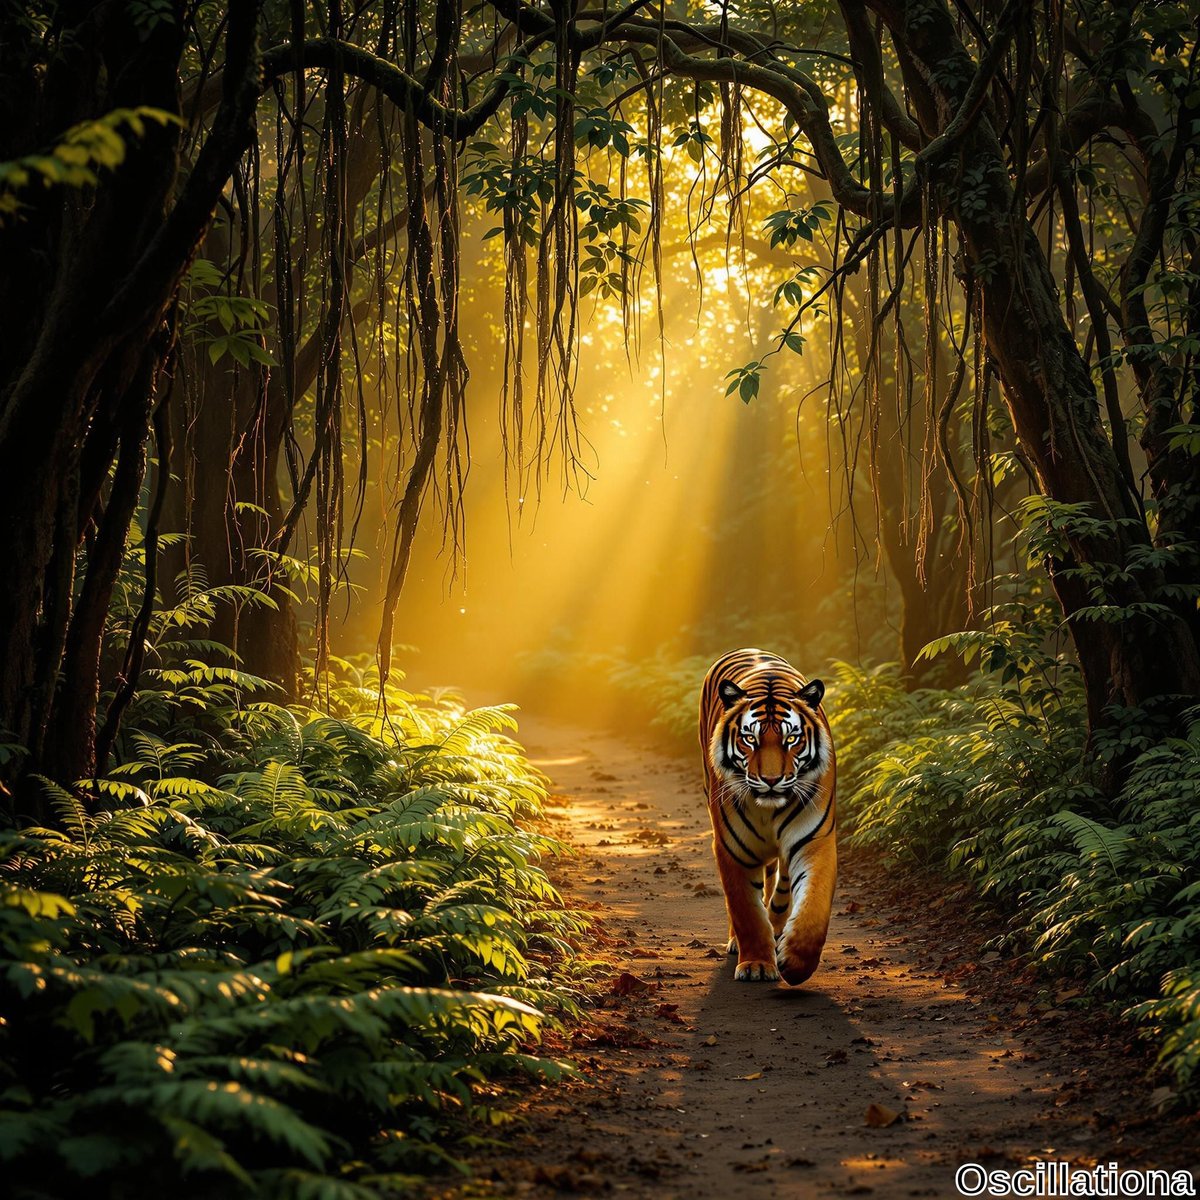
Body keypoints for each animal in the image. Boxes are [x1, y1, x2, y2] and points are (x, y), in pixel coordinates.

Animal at [698, 647, 837, 985]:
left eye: (791, 739)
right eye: (750, 739)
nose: (772, 780)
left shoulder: (815, 841)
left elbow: (814, 908)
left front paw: (796, 963)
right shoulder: (732, 849)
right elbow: (745, 911)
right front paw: (757, 965)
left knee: (782, 879)